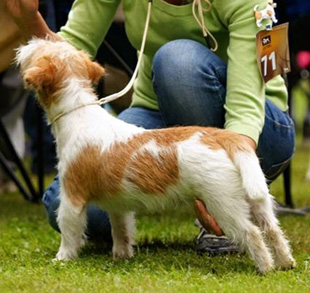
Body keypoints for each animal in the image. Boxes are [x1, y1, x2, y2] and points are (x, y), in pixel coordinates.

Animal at [15, 37, 296, 272]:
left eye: (39, 48)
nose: (24, 45)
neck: (78, 112)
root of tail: (226, 138)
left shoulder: (72, 196)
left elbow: (69, 229)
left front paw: (62, 258)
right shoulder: (118, 206)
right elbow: (121, 231)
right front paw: (121, 256)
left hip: (224, 204)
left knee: (253, 234)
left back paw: (265, 267)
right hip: (257, 198)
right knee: (273, 229)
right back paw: (285, 262)